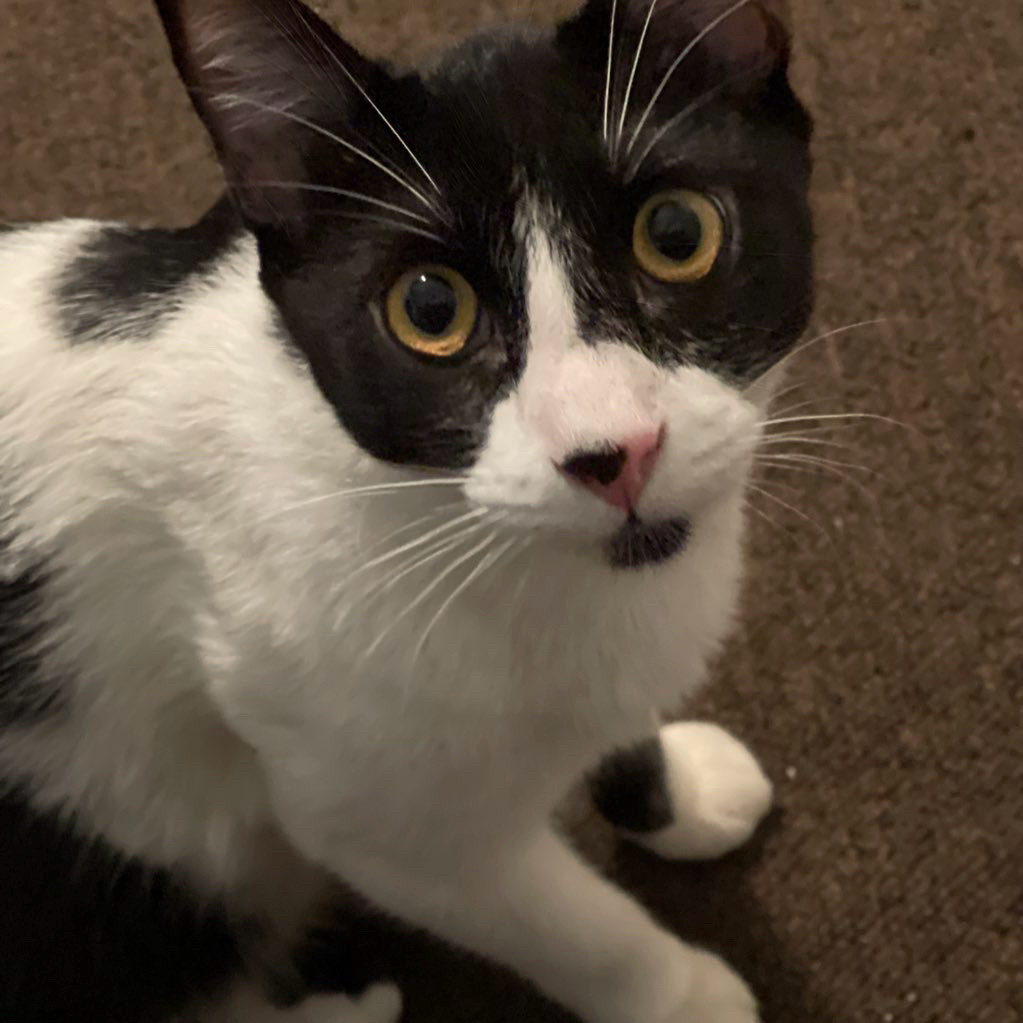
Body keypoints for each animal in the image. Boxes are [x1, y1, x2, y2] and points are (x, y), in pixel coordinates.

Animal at [0, 0, 814, 1018]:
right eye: (429, 308)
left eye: (674, 232)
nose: (613, 452)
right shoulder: (377, 813)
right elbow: (566, 922)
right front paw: (679, 995)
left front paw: (676, 792)